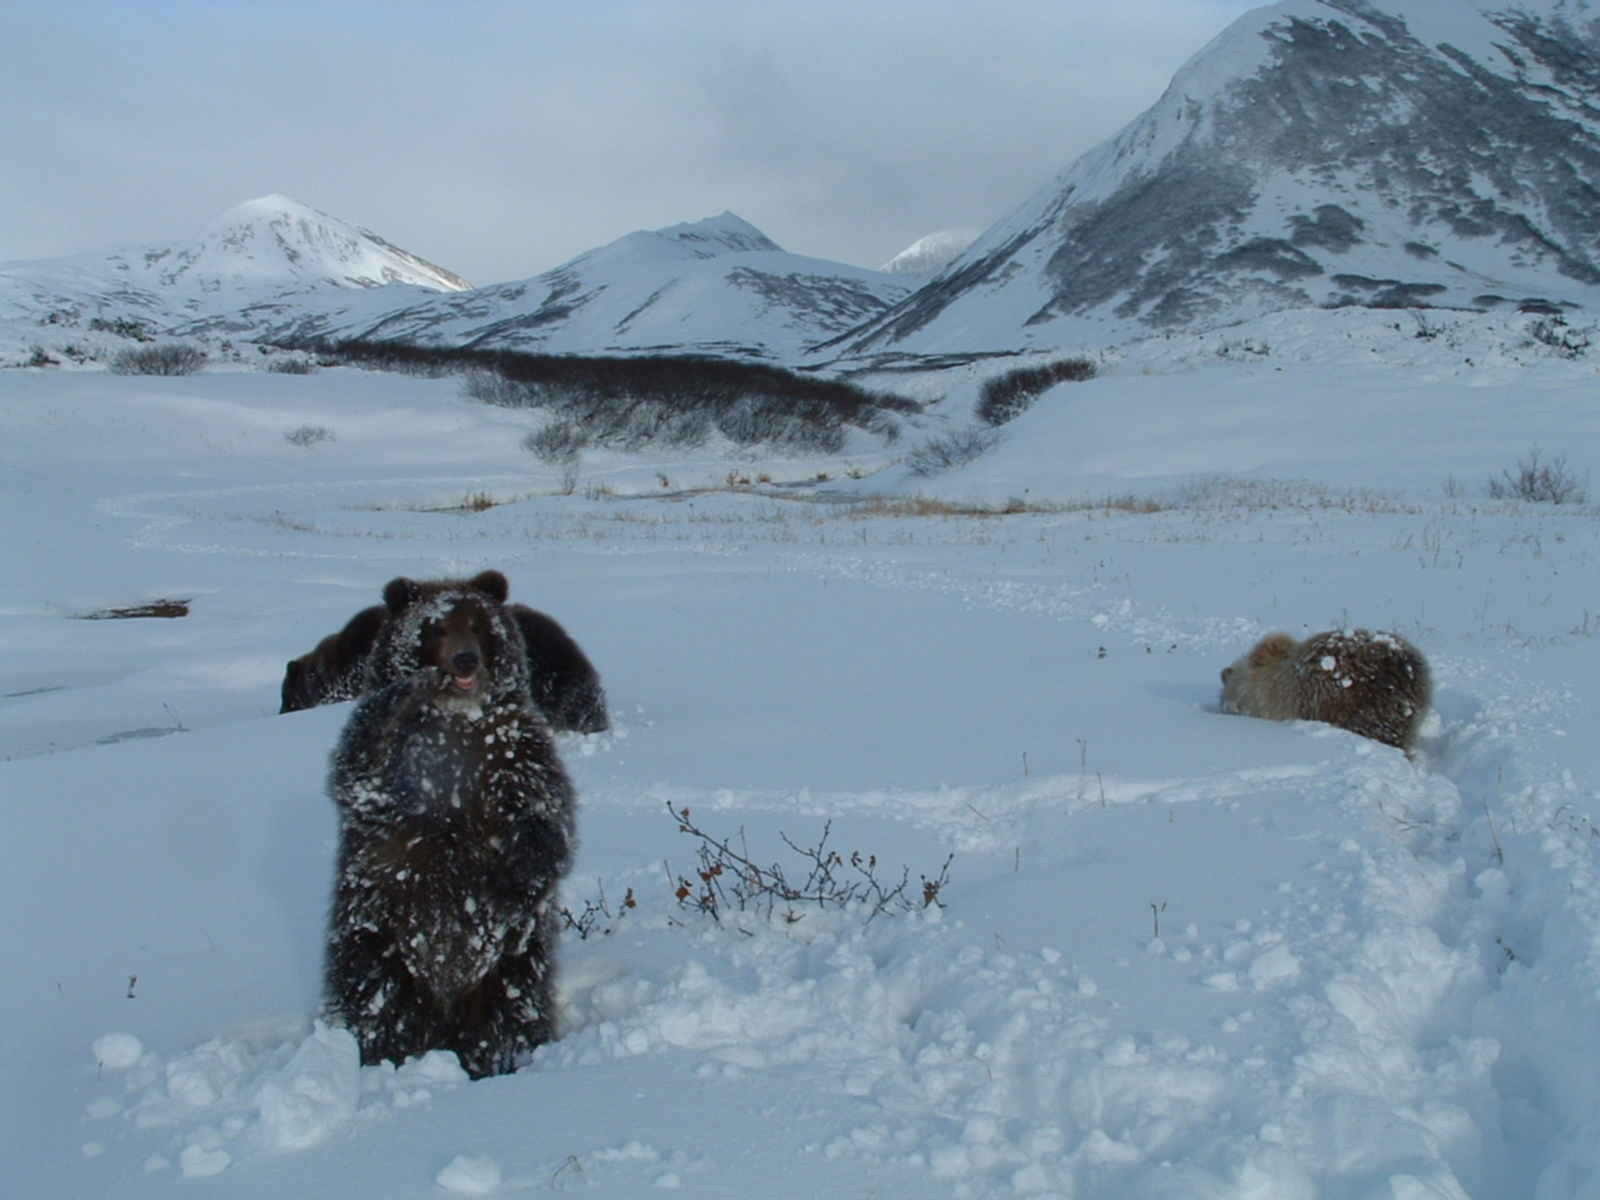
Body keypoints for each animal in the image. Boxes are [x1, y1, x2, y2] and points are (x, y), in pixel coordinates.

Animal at [321, 572, 579, 1081]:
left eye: (478, 624)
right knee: (375, 1007)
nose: (464, 659)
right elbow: (361, 774)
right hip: (380, 946)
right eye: (434, 627)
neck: (459, 715)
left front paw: (522, 862)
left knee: (513, 1014)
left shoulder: (515, 750)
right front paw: (405, 691)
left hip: (509, 965)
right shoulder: (391, 762)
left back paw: (503, 1060)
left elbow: (546, 814)